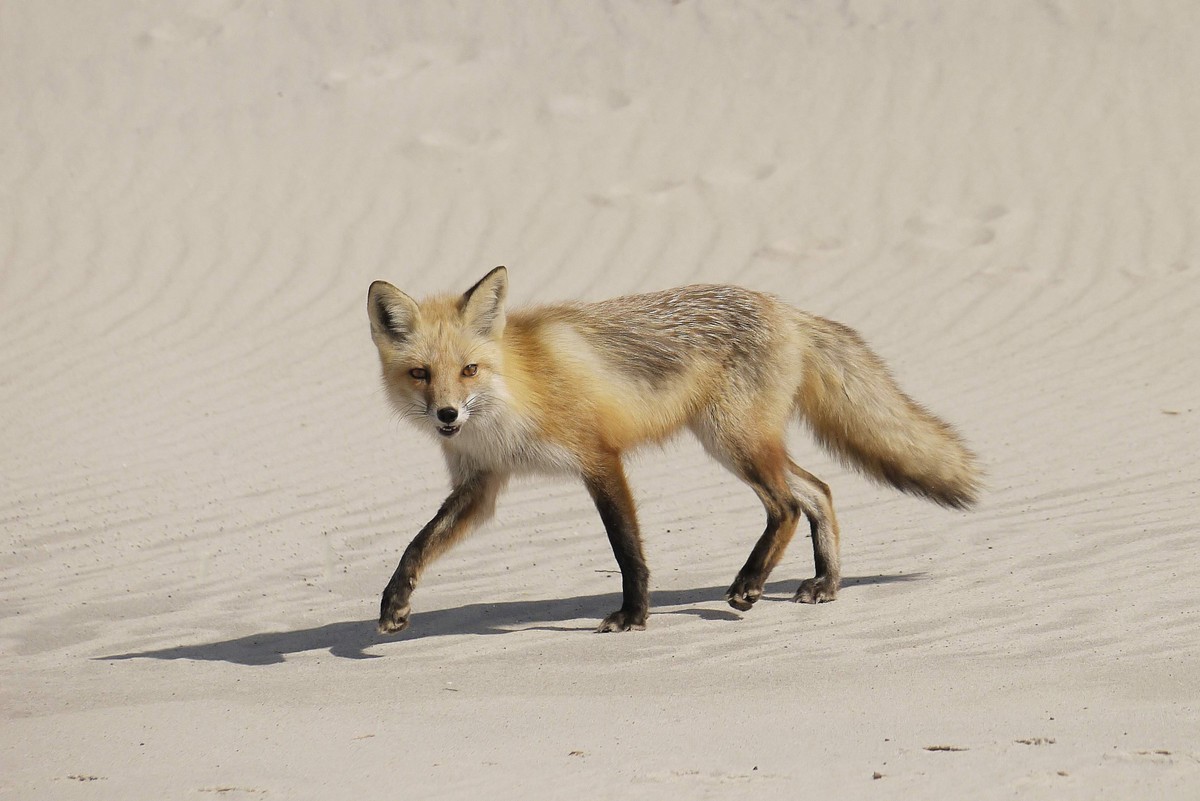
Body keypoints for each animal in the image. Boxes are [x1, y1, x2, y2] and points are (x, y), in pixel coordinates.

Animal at [367, 266, 979, 634]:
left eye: (469, 370)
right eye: (421, 374)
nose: (447, 415)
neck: (514, 393)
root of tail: (782, 306)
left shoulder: (599, 458)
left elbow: (626, 550)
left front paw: (633, 615)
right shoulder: (482, 483)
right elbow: (417, 545)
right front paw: (394, 603)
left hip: (734, 442)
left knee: (785, 506)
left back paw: (750, 584)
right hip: (741, 443)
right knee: (819, 491)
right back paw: (826, 583)